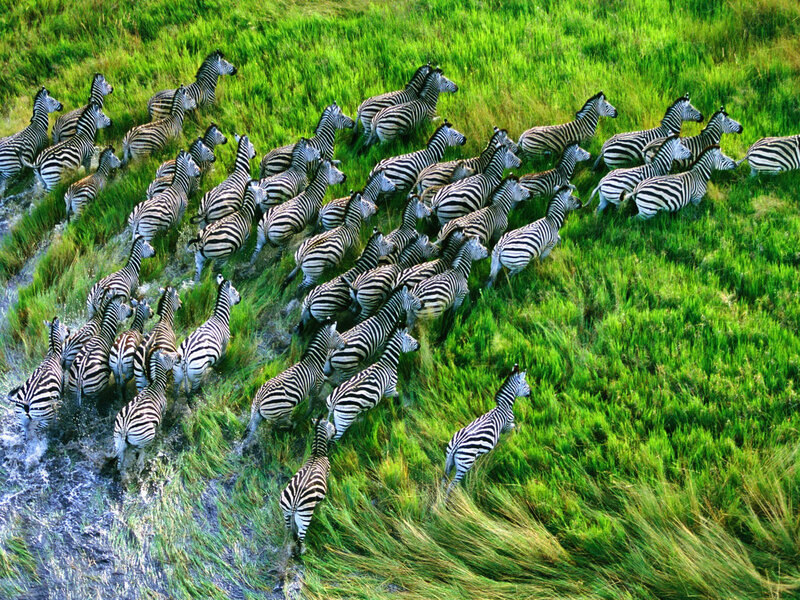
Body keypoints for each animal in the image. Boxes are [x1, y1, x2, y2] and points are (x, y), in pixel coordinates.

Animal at [279, 417, 337, 556]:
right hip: (304, 516)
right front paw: (321, 509)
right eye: (331, 425)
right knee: (300, 537)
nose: (337, 431)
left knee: (290, 532)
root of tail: (294, 503)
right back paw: (302, 551)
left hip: (286, 513)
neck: (317, 453)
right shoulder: (328, 473)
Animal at [442, 364, 530, 495]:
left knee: (443, 480)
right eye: (525, 384)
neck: (503, 406)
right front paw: (517, 436)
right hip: (465, 464)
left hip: (448, 460)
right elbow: (514, 427)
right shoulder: (507, 425)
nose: (531, 393)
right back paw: (448, 500)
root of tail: (456, 445)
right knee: (451, 485)